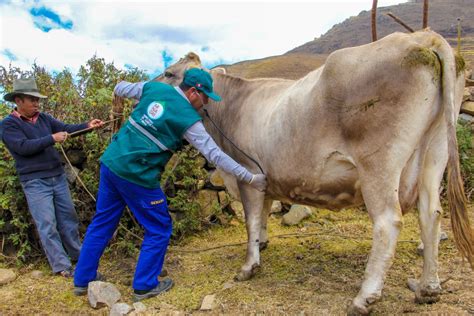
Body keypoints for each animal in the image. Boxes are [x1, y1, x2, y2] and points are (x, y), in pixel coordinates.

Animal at [143, 29, 472, 314]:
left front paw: (248, 266)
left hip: (379, 164)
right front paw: (263, 243)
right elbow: (263, 215)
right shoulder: (264, 179)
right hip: (435, 155)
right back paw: (428, 288)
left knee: (388, 222)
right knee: (431, 214)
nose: (144, 90)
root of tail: (421, 37)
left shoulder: (246, 174)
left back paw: (364, 297)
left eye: (170, 73)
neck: (233, 106)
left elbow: (250, 220)